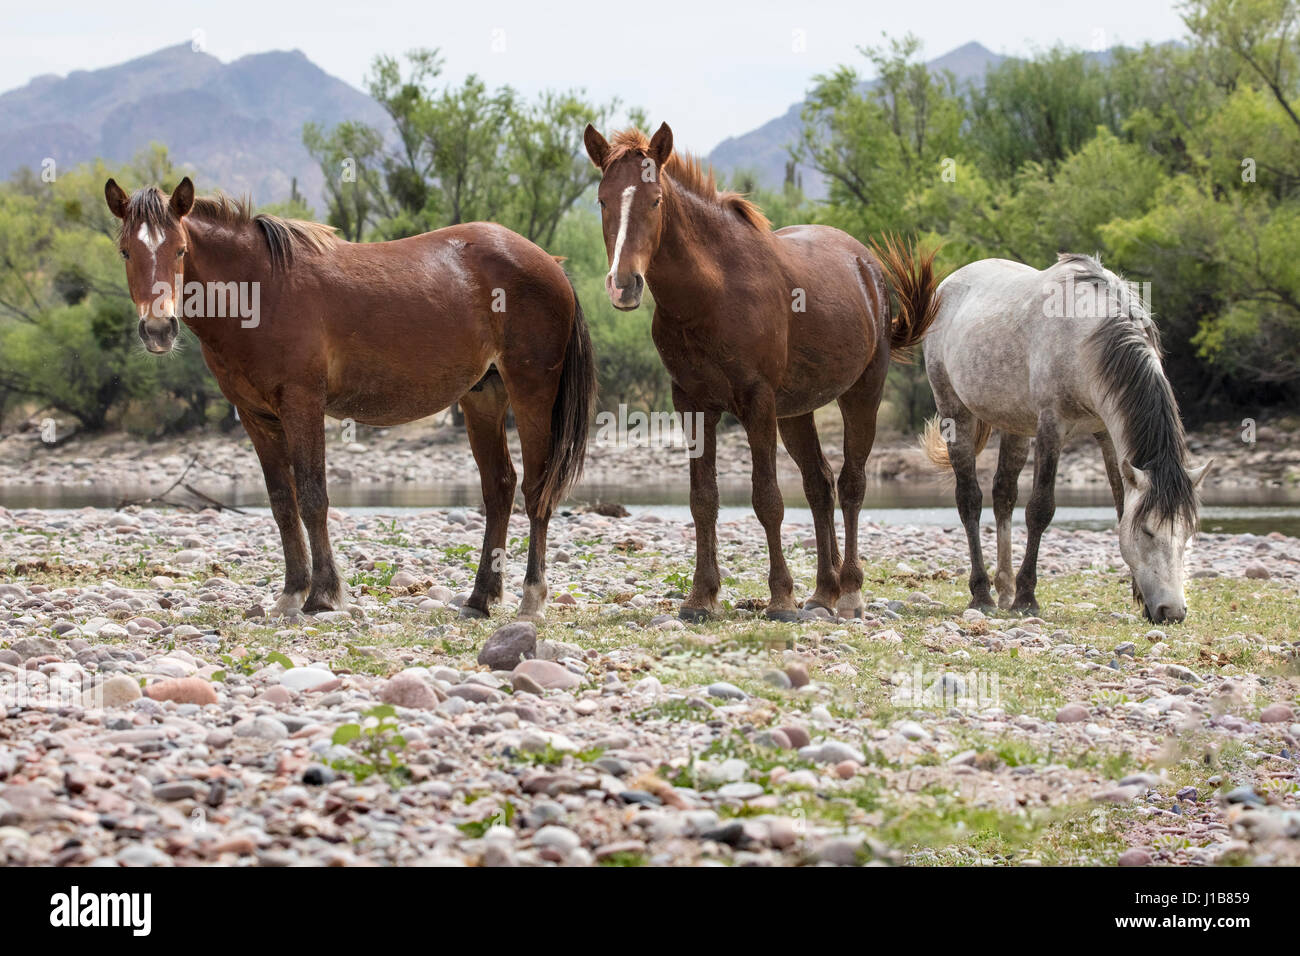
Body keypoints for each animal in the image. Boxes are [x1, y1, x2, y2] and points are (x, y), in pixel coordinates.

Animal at [105, 175, 595, 624]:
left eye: (180, 250)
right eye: (126, 251)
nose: (158, 330)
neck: (261, 289)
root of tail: (549, 263)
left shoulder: (302, 404)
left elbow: (313, 496)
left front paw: (322, 595)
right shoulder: (256, 416)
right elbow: (282, 502)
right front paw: (291, 593)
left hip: (531, 391)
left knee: (536, 489)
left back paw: (532, 598)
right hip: (483, 397)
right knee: (499, 488)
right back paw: (480, 598)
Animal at [585, 125, 941, 621]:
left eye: (655, 200)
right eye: (603, 201)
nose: (623, 285)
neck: (711, 293)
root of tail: (865, 265)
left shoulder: (758, 402)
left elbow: (767, 499)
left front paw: (780, 597)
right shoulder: (692, 404)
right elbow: (703, 500)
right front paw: (701, 597)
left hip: (861, 394)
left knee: (851, 483)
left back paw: (850, 591)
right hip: (796, 412)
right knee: (819, 485)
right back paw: (823, 592)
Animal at [925, 254, 1206, 624]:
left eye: (1187, 532)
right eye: (1147, 531)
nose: (1171, 611)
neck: (1087, 340)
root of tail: (949, 283)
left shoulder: (1107, 434)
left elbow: (1121, 506)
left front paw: (1140, 599)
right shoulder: (1051, 428)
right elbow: (1040, 509)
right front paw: (1027, 598)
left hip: (1015, 424)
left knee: (1004, 495)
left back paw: (1004, 589)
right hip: (955, 412)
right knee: (969, 499)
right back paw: (983, 594)